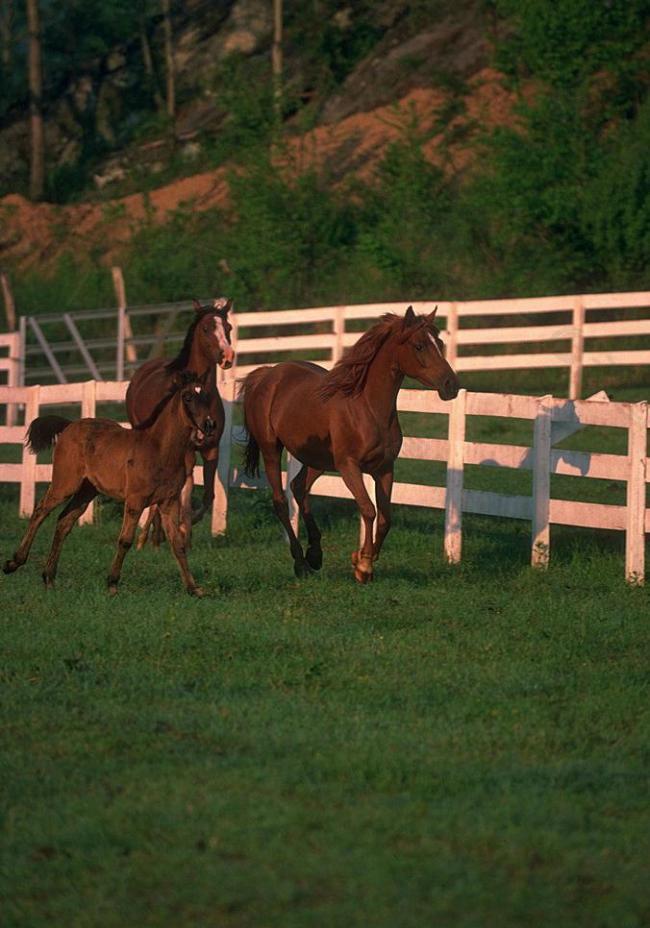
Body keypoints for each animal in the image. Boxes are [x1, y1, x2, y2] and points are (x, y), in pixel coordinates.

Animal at [3, 374, 214, 600]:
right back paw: (13, 563)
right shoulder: (135, 501)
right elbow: (125, 540)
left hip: (87, 491)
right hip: (65, 483)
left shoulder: (169, 502)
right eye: (188, 397)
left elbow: (178, 544)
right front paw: (112, 584)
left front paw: (194, 588)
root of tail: (69, 425)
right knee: (40, 511)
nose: (210, 424)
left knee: (64, 521)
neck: (160, 450)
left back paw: (49, 578)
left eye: (207, 396)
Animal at [125, 298, 234, 544]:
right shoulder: (185, 451)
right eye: (206, 329)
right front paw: (181, 529)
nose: (227, 357)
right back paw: (149, 535)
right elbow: (184, 489)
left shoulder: (211, 448)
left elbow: (208, 495)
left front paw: (187, 526)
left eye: (228, 328)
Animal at [240, 304, 458, 580]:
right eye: (419, 345)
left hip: (318, 460)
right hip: (271, 450)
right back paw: (301, 563)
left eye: (439, 343)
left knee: (299, 487)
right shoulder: (349, 467)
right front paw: (363, 565)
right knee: (280, 501)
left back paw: (315, 555)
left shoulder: (384, 468)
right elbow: (368, 509)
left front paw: (364, 558)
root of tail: (267, 374)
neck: (367, 407)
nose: (451, 385)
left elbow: (385, 518)